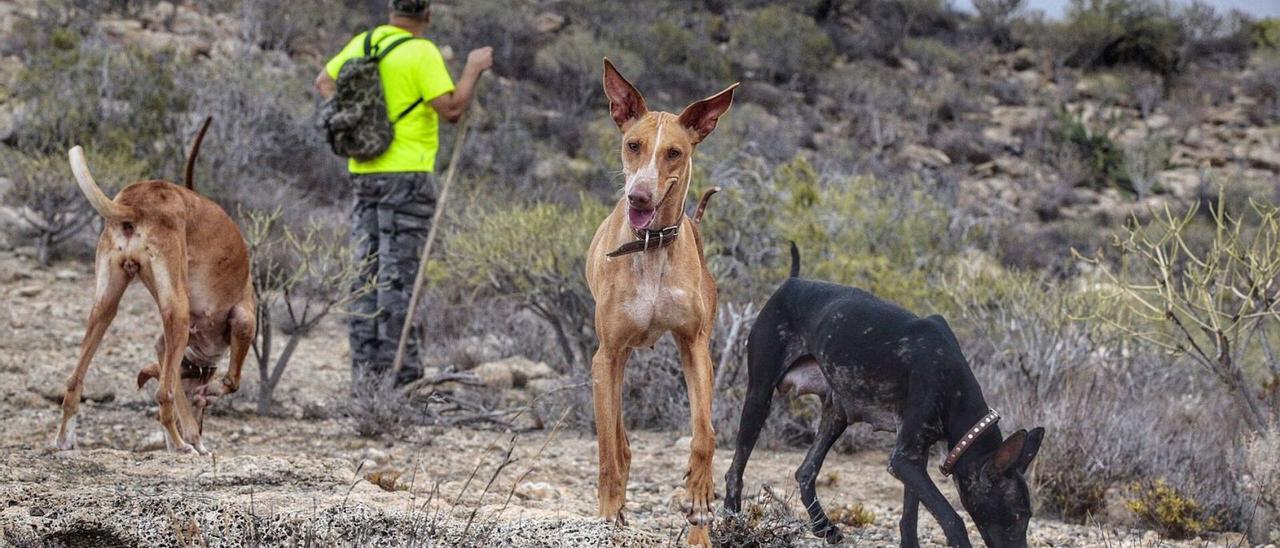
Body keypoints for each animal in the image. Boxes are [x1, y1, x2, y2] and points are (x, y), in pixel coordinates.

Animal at [53, 125, 253, 453]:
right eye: (204, 408)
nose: (201, 426)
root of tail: (136, 202)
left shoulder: (164, 347)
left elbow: (176, 389)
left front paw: (191, 439)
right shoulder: (244, 321)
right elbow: (231, 381)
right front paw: (194, 429)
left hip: (105, 304)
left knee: (74, 379)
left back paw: (63, 439)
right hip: (178, 313)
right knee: (164, 394)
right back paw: (179, 444)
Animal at [586, 59, 737, 542]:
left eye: (674, 152)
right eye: (632, 145)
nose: (639, 195)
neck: (650, 246)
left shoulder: (696, 347)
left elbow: (704, 433)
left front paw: (699, 502)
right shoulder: (606, 355)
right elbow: (607, 455)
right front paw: (607, 517)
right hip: (612, 362)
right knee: (619, 444)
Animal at [727, 244, 1044, 548]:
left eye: (1028, 516)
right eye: (1018, 516)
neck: (951, 383)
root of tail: (790, 283)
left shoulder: (915, 456)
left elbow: (910, 516)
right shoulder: (904, 459)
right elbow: (951, 518)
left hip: (837, 414)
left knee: (805, 471)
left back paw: (824, 527)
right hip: (759, 398)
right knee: (735, 471)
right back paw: (732, 522)